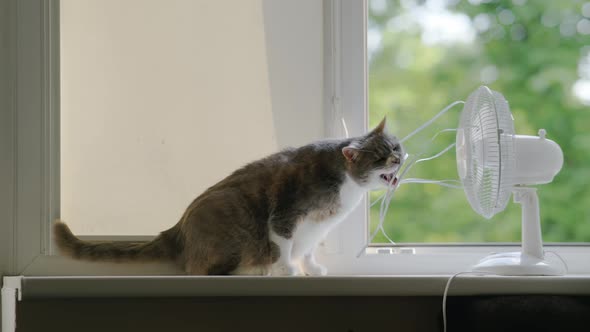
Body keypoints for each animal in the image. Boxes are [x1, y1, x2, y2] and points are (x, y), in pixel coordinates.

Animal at [53, 118, 404, 276]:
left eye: (395, 147)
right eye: (379, 157)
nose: (398, 158)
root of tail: (174, 231)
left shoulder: (316, 227)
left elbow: (306, 250)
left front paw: (312, 269)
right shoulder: (286, 214)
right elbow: (285, 246)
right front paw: (289, 269)